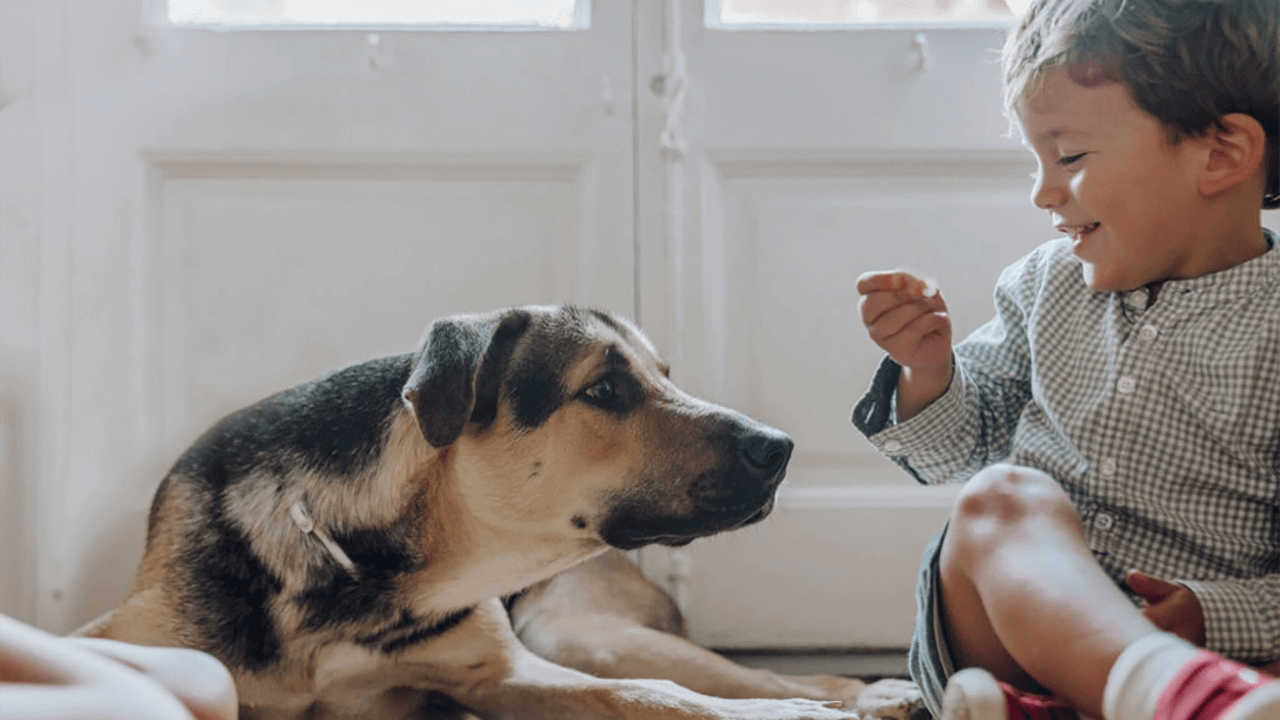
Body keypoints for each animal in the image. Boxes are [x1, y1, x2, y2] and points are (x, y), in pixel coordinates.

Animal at [80, 303, 916, 717]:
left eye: (664, 374)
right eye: (606, 388)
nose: (782, 449)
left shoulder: (505, 673)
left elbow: (668, 696)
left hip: (576, 630)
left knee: (771, 675)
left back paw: (873, 696)